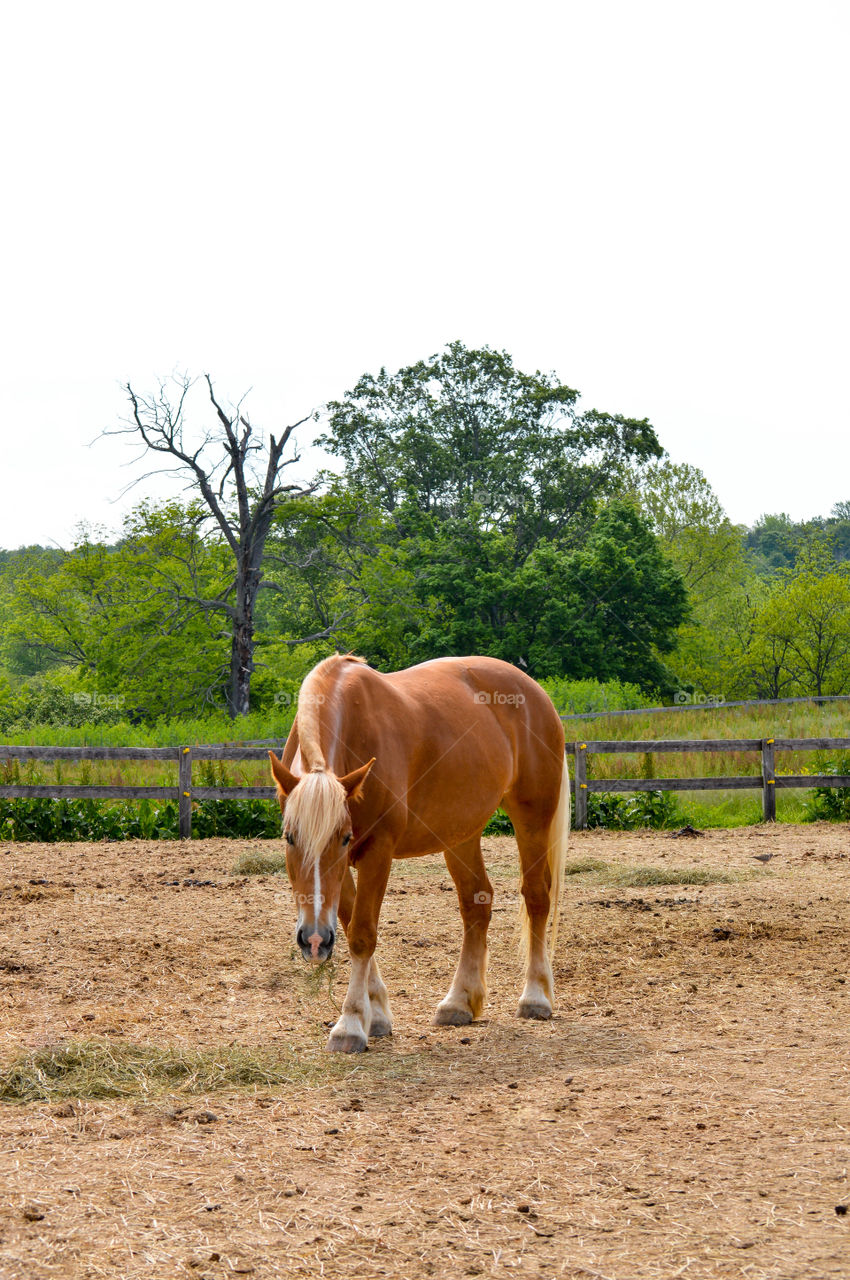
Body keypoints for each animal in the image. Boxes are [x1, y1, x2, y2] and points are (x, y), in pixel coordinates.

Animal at [268, 655, 568, 1054]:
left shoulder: (377, 851)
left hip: (531, 818)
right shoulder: (342, 872)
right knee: (476, 903)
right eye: (289, 838)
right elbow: (348, 922)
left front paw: (351, 1024)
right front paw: (377, 1015)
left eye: (344, 838)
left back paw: (536, 997)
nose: (315, 941)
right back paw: (459, 1002)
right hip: (460, 834)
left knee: (536, 897)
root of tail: (534, 692)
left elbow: (362, 933)